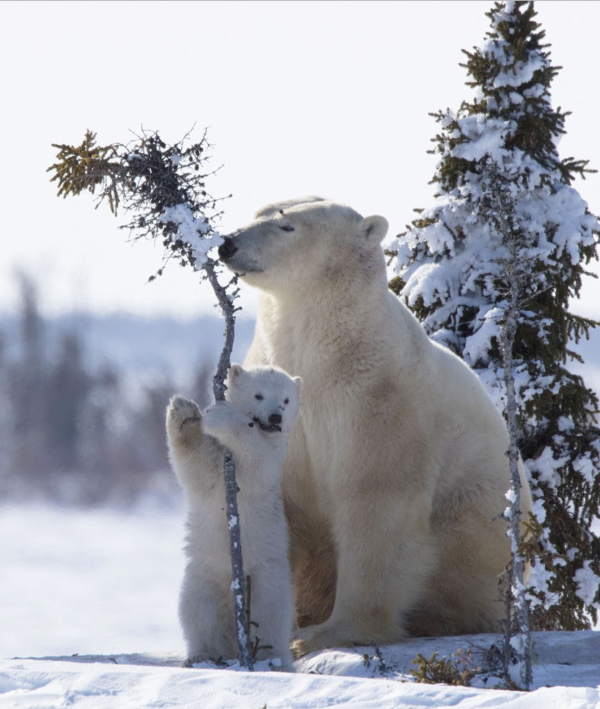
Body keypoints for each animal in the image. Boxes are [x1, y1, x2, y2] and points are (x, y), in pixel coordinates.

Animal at [218, 196, 532, 656]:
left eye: (287, 226)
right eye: (260, 213)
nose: (228, 244)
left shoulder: (375, 398)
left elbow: (376, 499)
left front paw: (323, 635)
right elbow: (276, 501)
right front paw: (260, 627)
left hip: (477, 516)